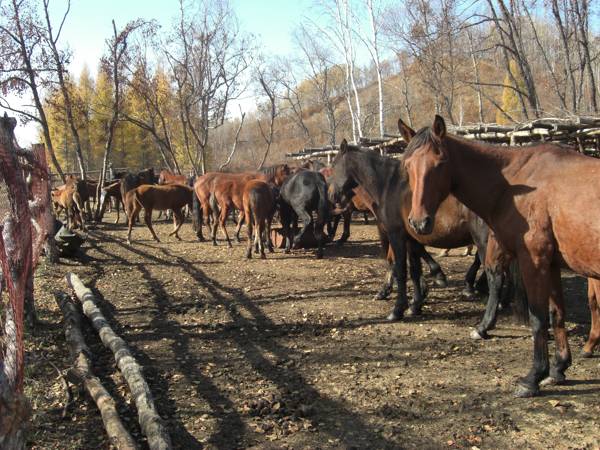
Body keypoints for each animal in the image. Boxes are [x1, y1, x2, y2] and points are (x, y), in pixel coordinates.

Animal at [404, 113, 600, 398]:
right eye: (407, 165)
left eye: (439, 164)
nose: (419, 223)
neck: (514, 185)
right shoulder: (551, 264)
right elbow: (556, 313)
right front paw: (559, 368)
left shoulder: (533, 262)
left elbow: (538, 318)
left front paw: (533, 377)